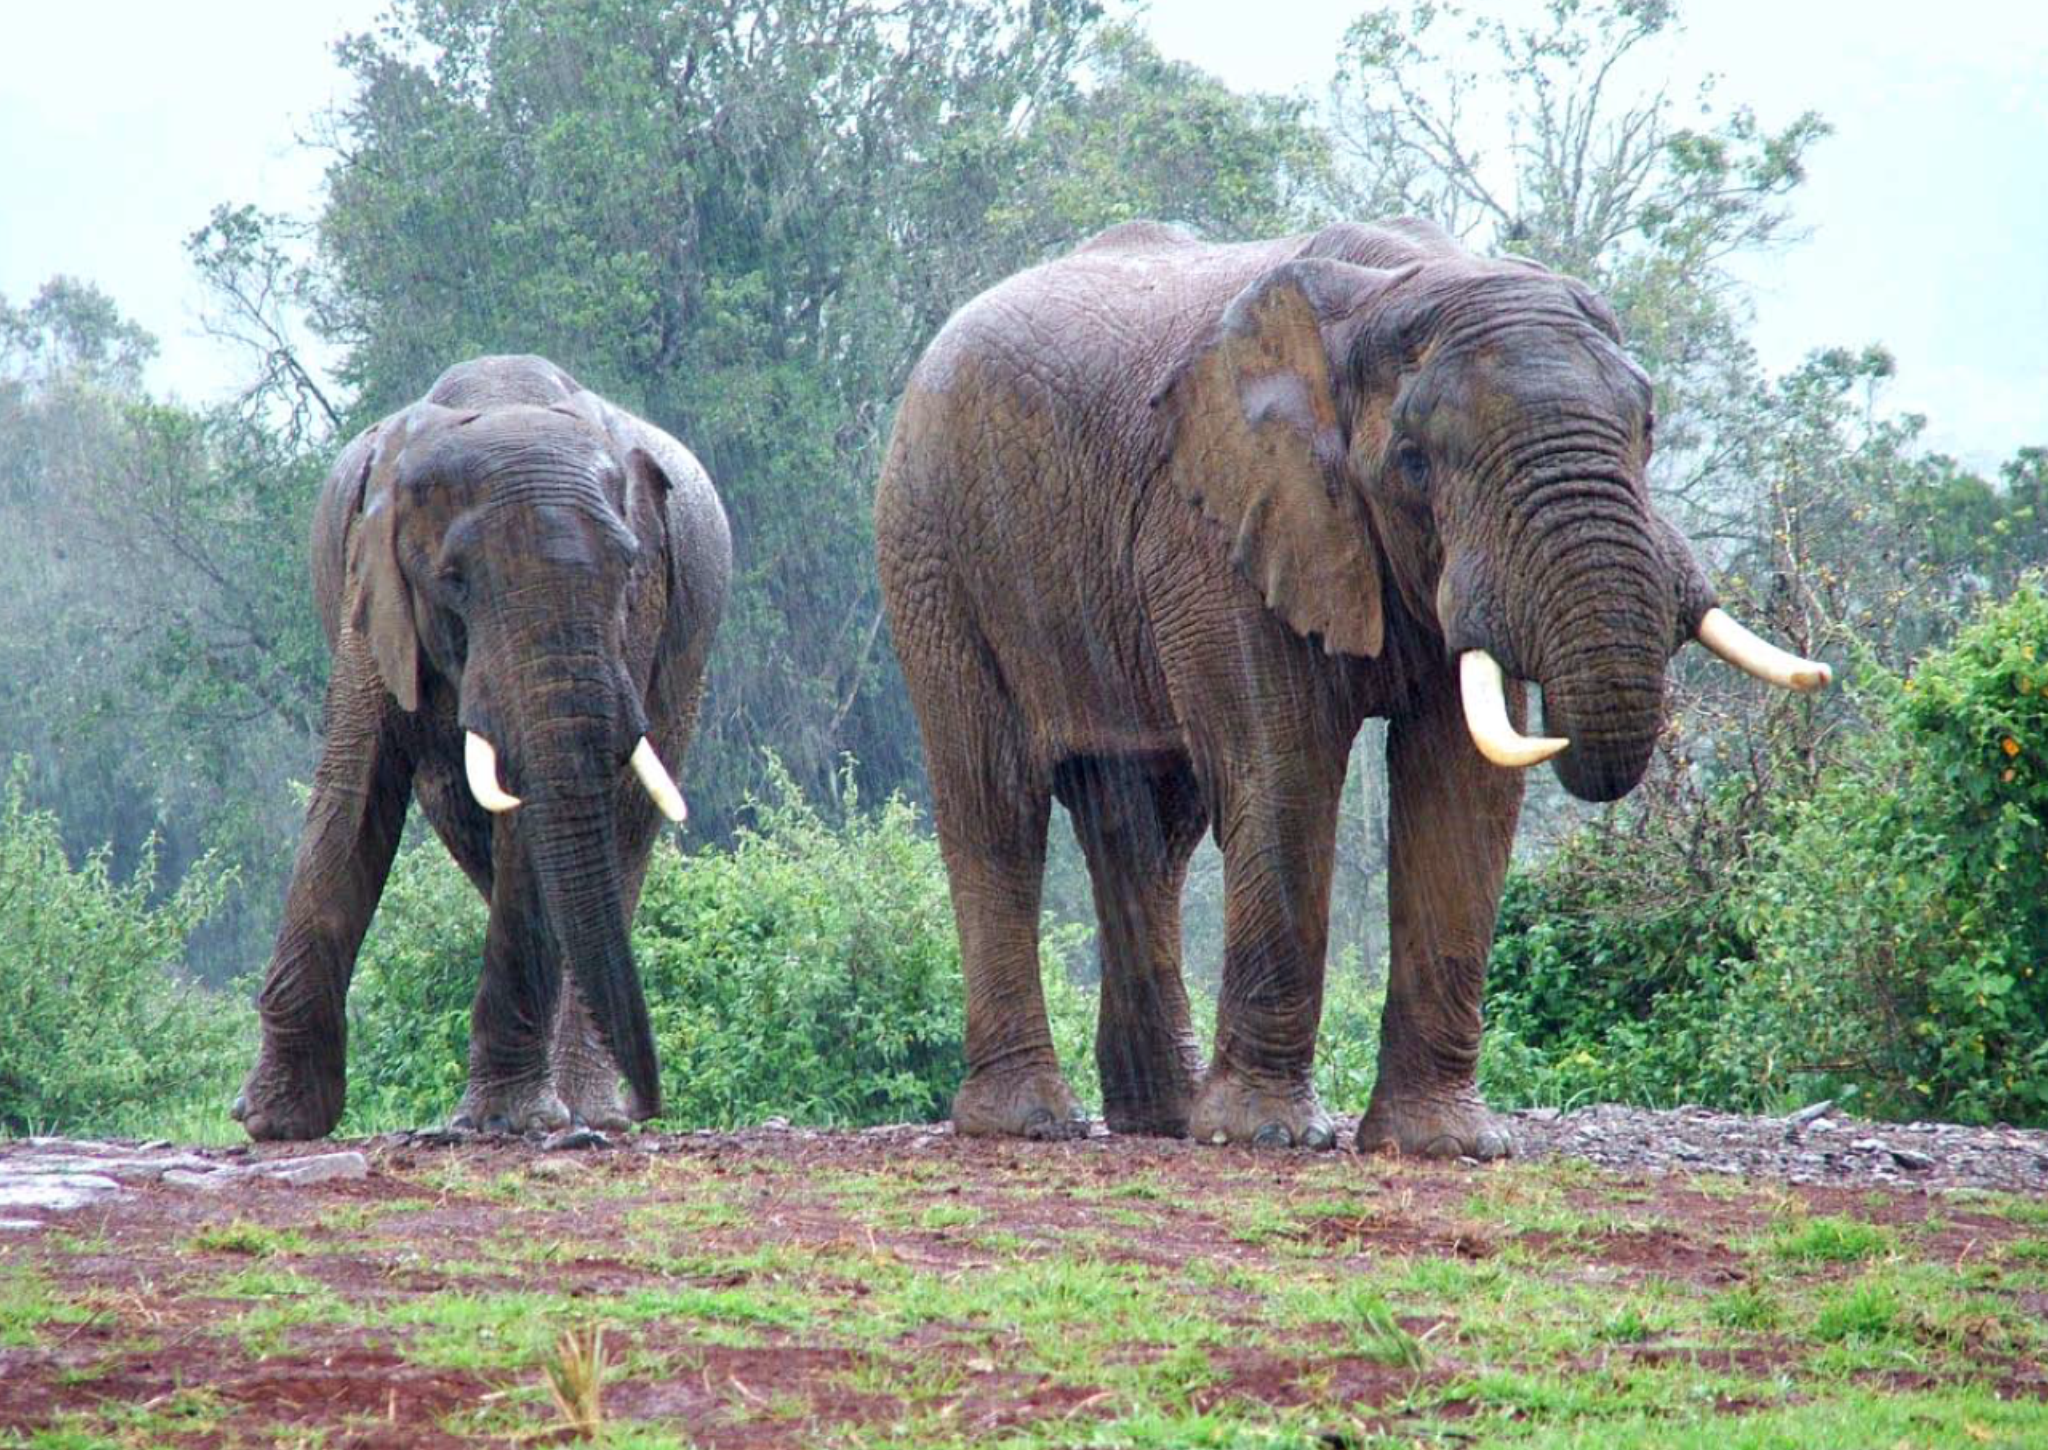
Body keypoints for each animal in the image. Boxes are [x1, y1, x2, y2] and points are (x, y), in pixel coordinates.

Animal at [235, 354, 733, 1146]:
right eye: (454, 581)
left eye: (627, 569)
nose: (650, 1105)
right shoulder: (371, 586)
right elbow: (353, 788)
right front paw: (276, 1123)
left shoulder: (646, 609)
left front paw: (505, 1120)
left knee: (622, 832)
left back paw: (582, 1107)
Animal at [876, 221, 1826, 1163]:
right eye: (1414, 462)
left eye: (1649, 429)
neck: (1396, 287)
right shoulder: (1222, 525)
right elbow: (1284, 771)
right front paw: (1269, 1135)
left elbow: (1463, 792)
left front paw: (1447, 1145)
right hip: (930, 546)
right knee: (996, 802)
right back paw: (1031, 1121)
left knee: (1146, 828)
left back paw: (1165, 1120)